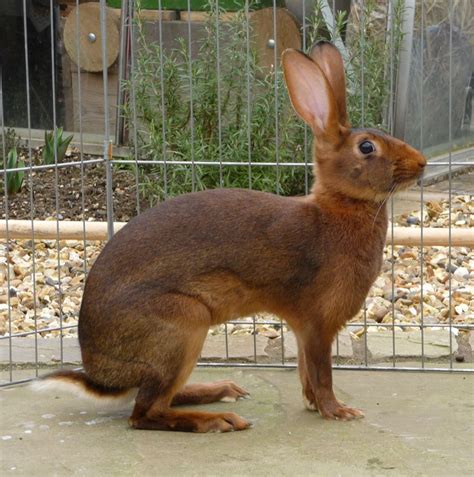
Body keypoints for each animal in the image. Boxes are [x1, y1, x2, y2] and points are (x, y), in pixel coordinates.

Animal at [33, 42, 426, 432]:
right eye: (366, 147)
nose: (421, 163)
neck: (340, 206)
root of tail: (102, 375)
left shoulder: (303, 328)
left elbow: (304, 371)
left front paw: (314, 405)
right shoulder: (317, 323)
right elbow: (321, 372)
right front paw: (338, 411)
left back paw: (222, 390)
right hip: (183, 326)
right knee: (145, 413)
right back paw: (218, 420)